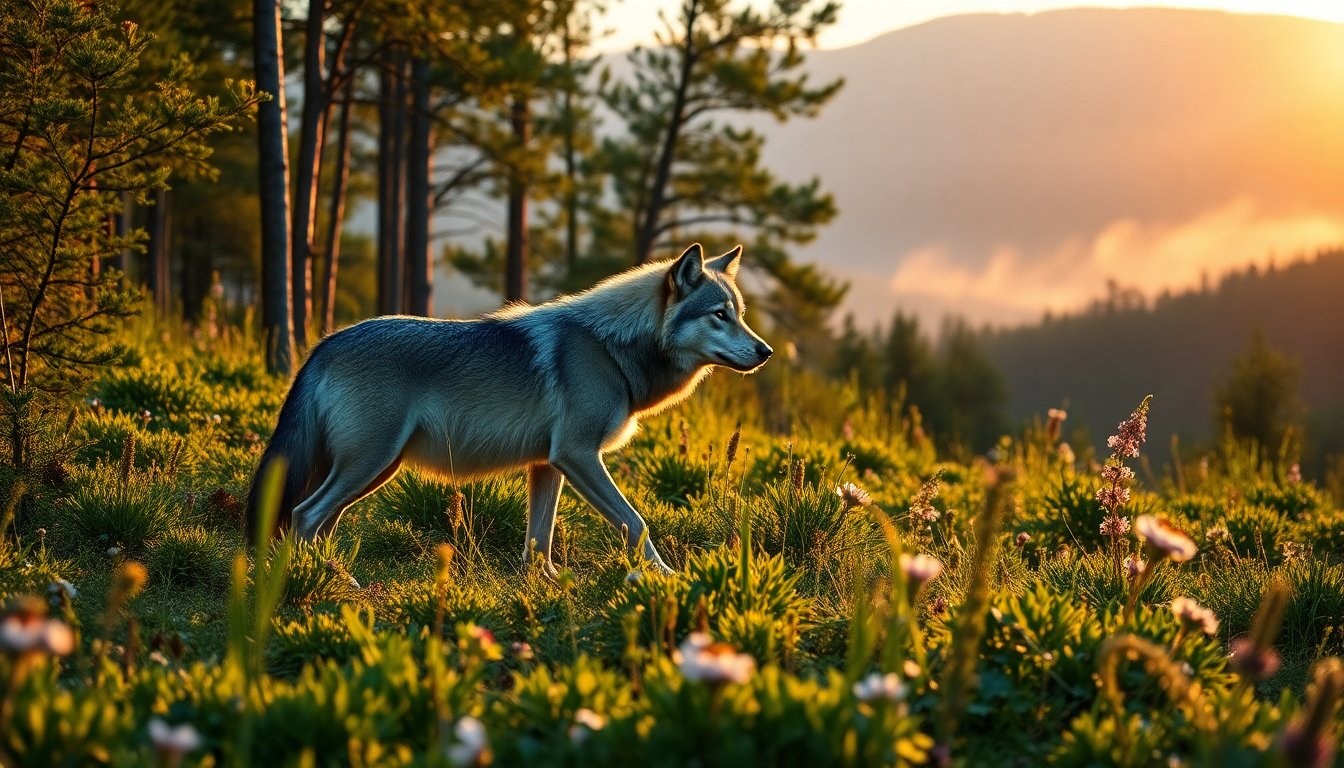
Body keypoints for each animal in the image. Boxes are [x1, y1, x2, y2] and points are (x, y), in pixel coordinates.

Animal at [244, 243, 773, 575]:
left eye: (741, 314)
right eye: (720, 315)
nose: (765, 351)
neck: (608, 349)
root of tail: (323, 344)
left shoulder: (550, 464)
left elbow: (539, 544)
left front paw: (548, 587)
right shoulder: (578, 455)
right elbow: (637, 523)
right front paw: (665, 577)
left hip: (373, 470)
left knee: (317, 521)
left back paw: (332, 577)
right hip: (369, 465)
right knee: (304, 516)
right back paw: (328, 582)